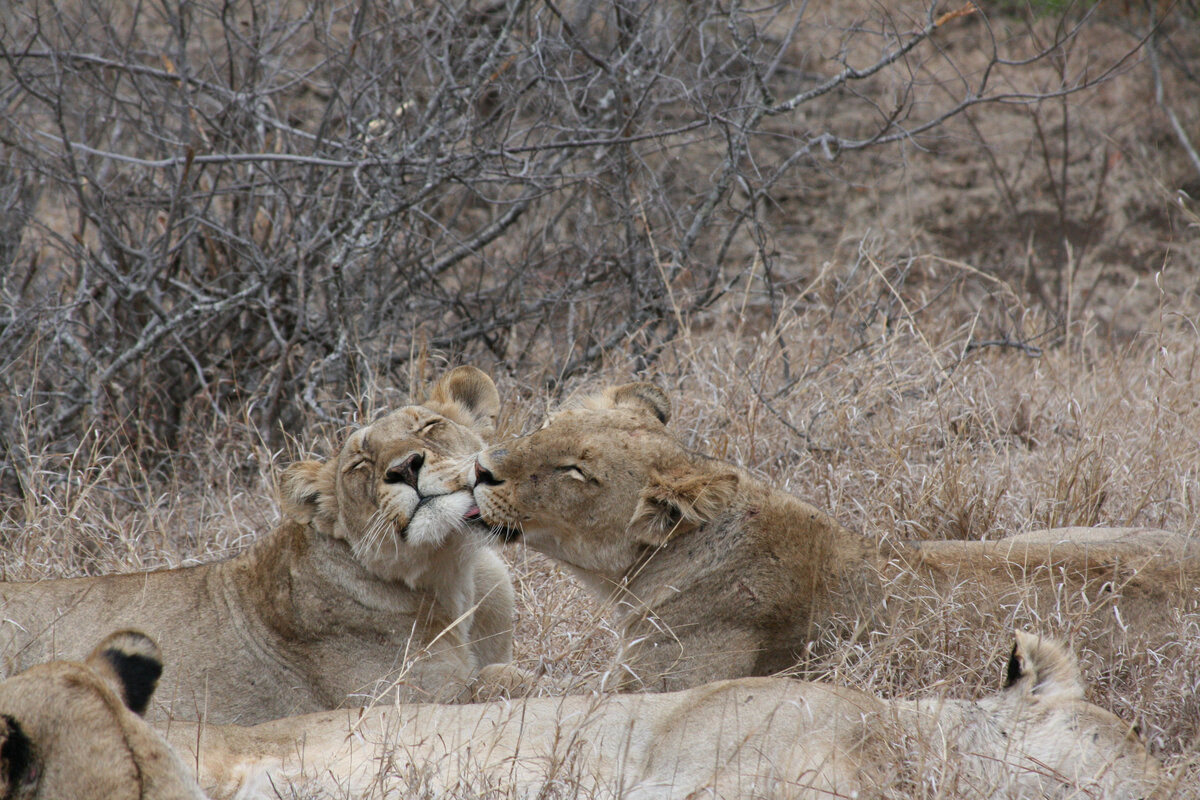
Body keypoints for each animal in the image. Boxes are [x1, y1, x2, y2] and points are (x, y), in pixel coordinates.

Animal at [1, 367, 516, 724]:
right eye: (360, 465)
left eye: (429, 427)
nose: (405, 467)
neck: (451, 570)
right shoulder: (391, 702)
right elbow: (495, 681)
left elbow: (495, 672)